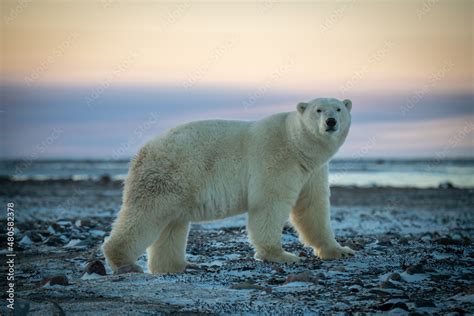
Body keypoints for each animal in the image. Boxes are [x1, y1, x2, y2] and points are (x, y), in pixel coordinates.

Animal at [104, 97, 356, 272]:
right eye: (318, 109)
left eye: (339, 108)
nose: (331, 122)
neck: (296, 145)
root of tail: (142, 152)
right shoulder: (275, 158)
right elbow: (269, 203)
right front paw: (280, 255)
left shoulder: (312, 171)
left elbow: (312, 207)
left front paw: (340, 250)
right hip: (168, 174)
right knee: (146, 214)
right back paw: (124, 261)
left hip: (177, 186)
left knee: (171, 225)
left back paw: (178, 265)